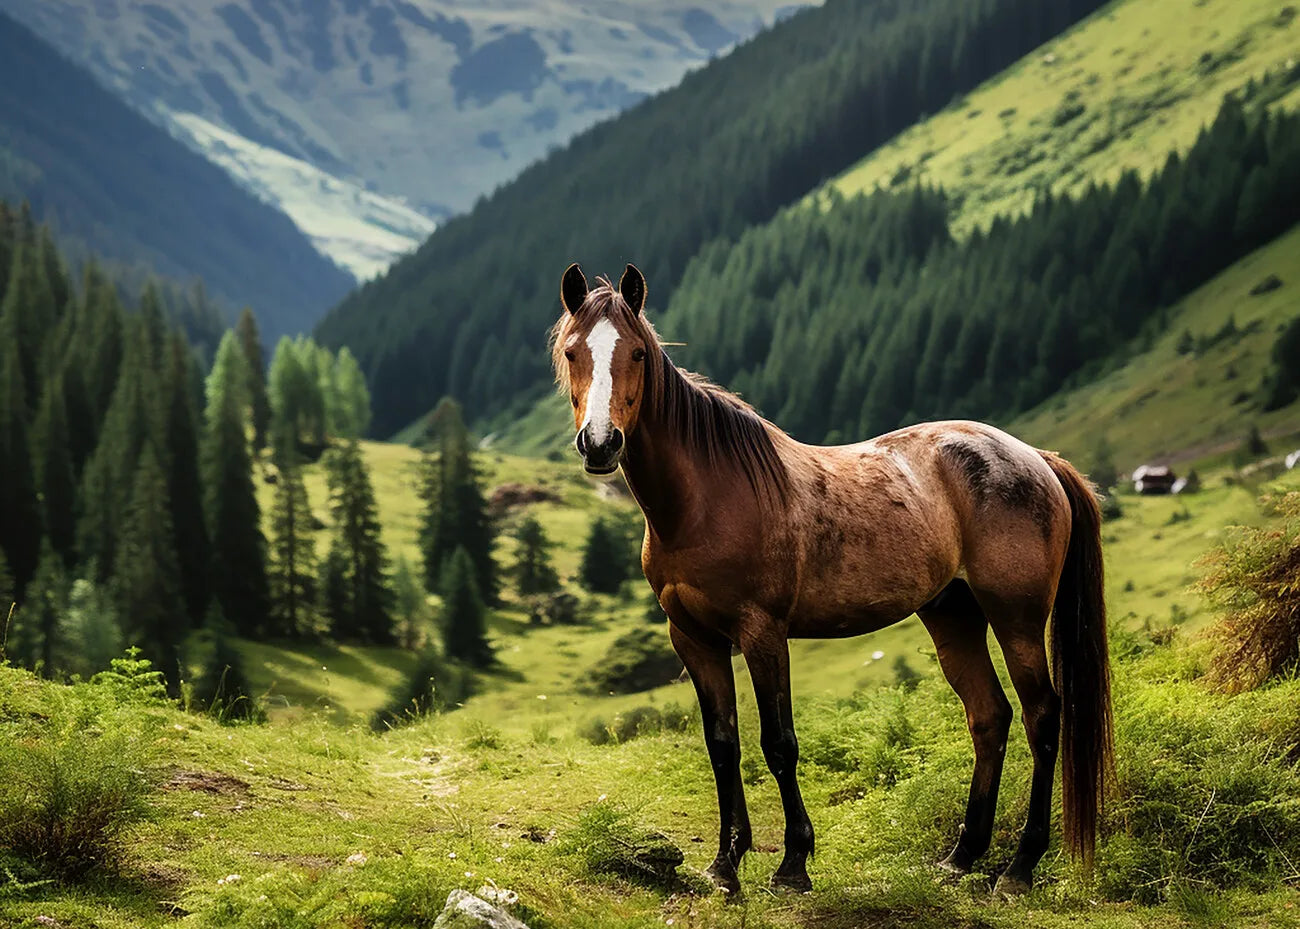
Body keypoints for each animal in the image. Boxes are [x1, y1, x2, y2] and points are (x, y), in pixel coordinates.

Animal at [550, 262, 1113, 896]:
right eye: (573, 352)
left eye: (639, 353)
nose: (601, 444)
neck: (705, 499)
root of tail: (1037, 457)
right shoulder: (693, 638)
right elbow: (722, 744)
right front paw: (725, 864)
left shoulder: (764, 634)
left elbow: (778, 744)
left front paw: (793, 863)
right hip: (953, 615)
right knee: (990, 717)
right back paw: (962, 856)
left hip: (1016, 619)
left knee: (1044, 717)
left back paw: (1019, 867)